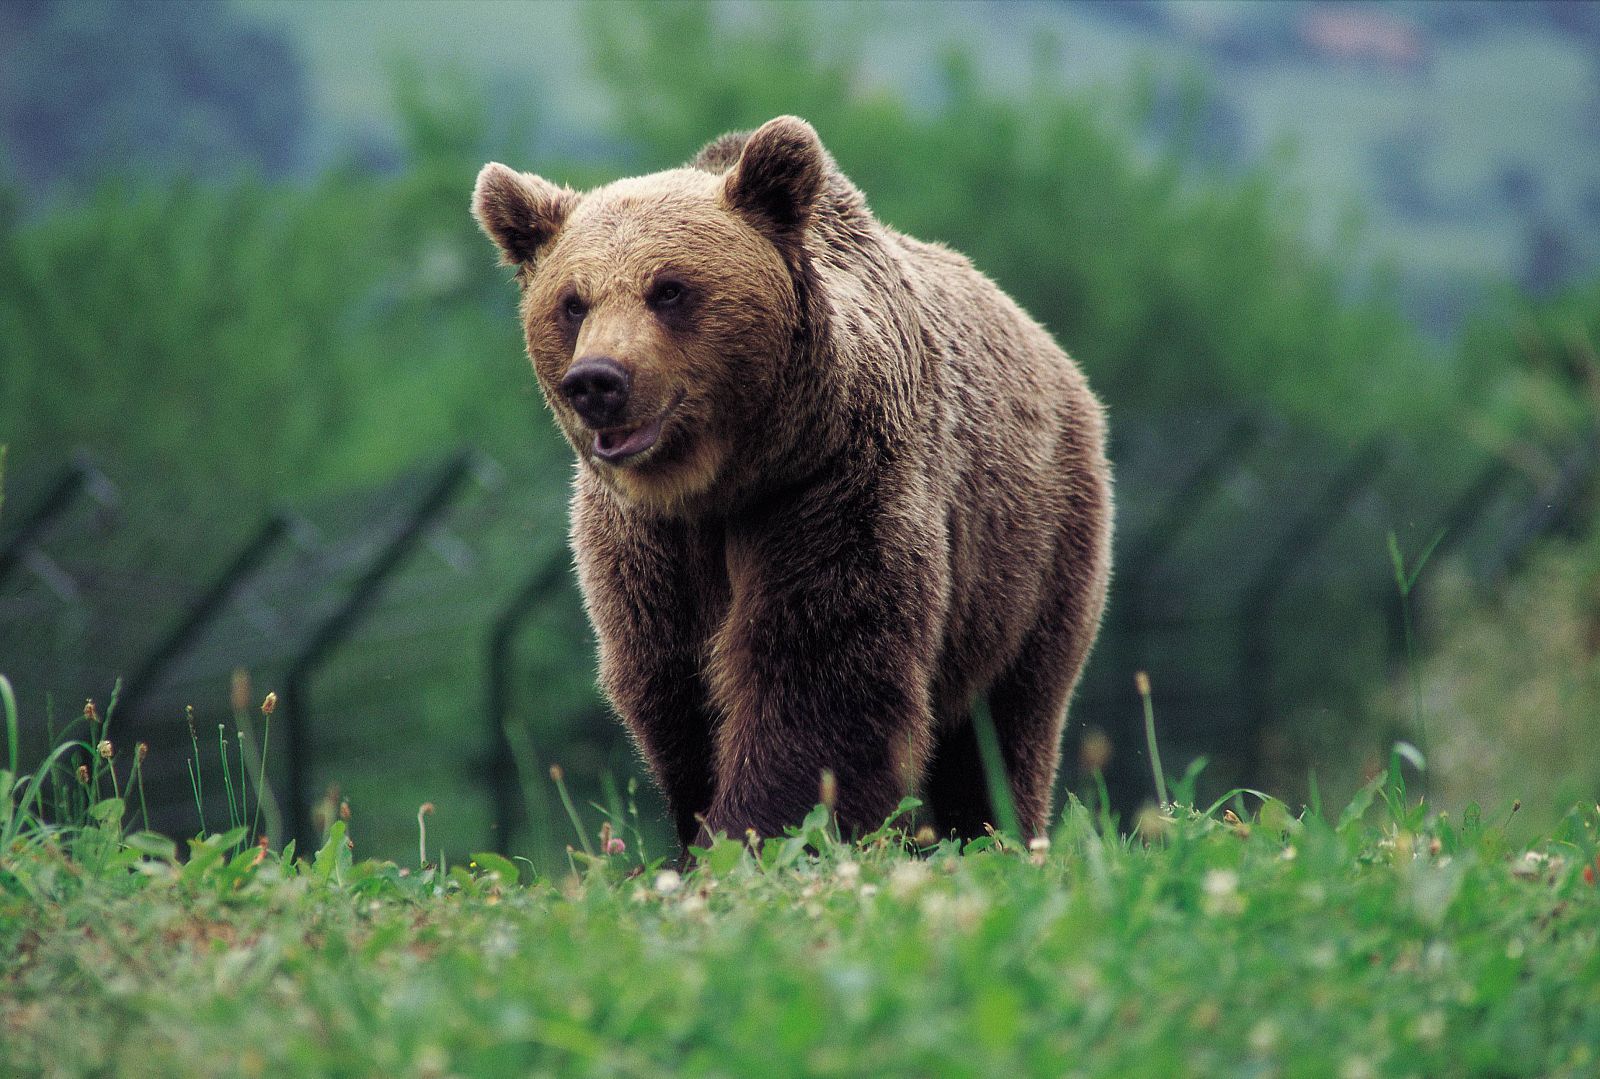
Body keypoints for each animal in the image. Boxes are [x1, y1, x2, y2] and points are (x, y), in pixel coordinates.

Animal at [473, 115, 1113, 851]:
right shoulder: (647, 545)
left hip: (1031, 548)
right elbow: (674, 689)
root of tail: (1055, 353)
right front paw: (701, 827)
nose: (597, 381)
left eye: (670, 288)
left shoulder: (832, 488)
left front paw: (759, 830)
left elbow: (820, 675)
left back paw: (996, 831)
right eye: (573, 302)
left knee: (1006, 722)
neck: (719, 485)